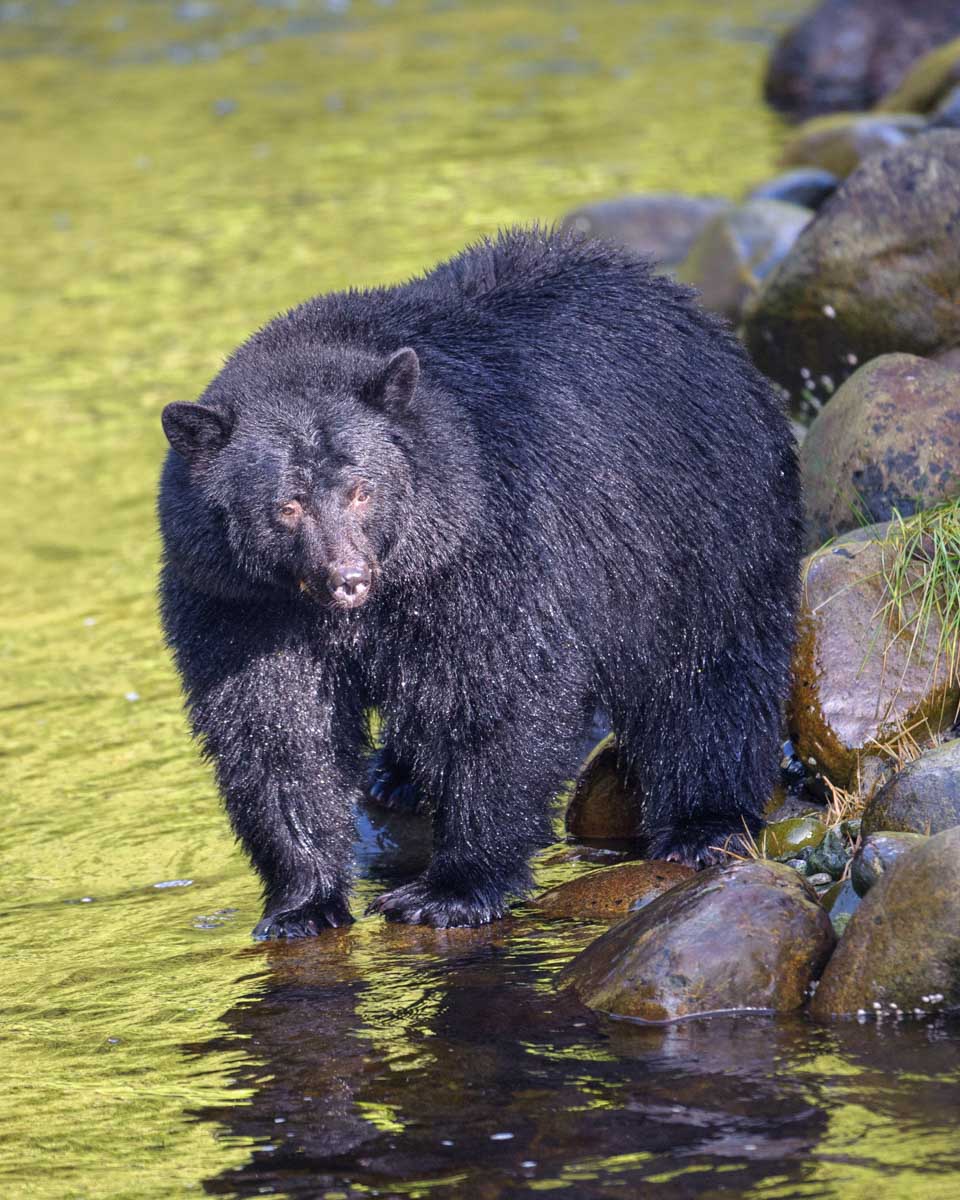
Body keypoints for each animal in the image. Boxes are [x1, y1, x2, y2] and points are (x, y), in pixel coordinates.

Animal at [158, 226, 802, 938]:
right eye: (287, 505)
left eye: (361, 489)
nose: (347, 578)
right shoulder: (240, 602)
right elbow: (278, 729)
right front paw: (301, 902)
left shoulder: (486, 545)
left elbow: (500, 692)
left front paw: (451, 888)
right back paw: (398, 776)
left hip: (701, 514)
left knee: (711, 668)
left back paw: (702, 825)